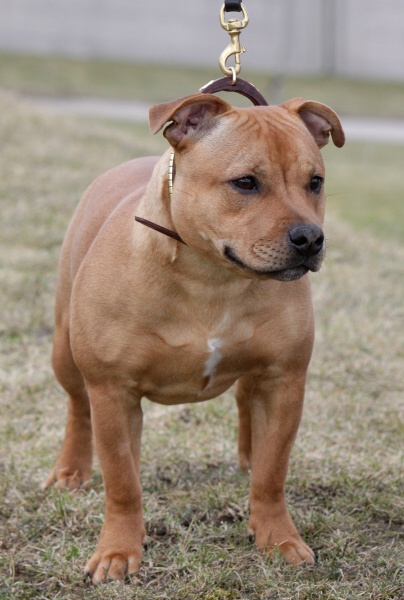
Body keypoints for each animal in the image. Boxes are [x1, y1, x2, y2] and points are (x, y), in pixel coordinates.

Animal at [44, 92, 344, 580]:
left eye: (315, 182)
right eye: (245, 183)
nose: (310, 238)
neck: (211, 278)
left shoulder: (283, 380)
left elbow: (272, 473)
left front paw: (278, 537)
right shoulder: (112, 391)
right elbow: (122, 481)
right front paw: (117, 551)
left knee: (245, 404)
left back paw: (248, 455)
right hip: (65, 352)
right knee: (78, 408)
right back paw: (71, 469)